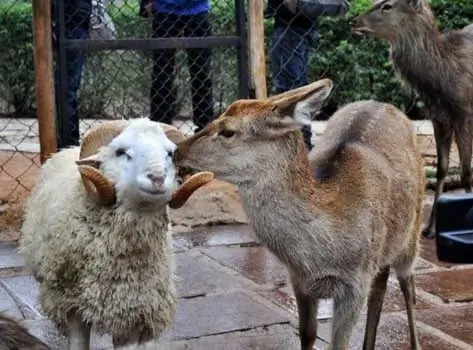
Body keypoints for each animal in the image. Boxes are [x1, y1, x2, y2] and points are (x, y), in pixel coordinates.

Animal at [173, 78, 424, 348]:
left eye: (228, 131)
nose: (176, 150)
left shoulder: (356, 282)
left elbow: (340, 343)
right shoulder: (299, 281)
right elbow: (307, 334)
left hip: (412, 234)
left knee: (408, 286)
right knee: (380, 288)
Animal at [350, 0, 473, 239]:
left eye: (387, 5)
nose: (354, 22)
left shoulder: (465, 115)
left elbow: (465, 173)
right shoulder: (439, 119)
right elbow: (442, 169)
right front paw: (430, 228)